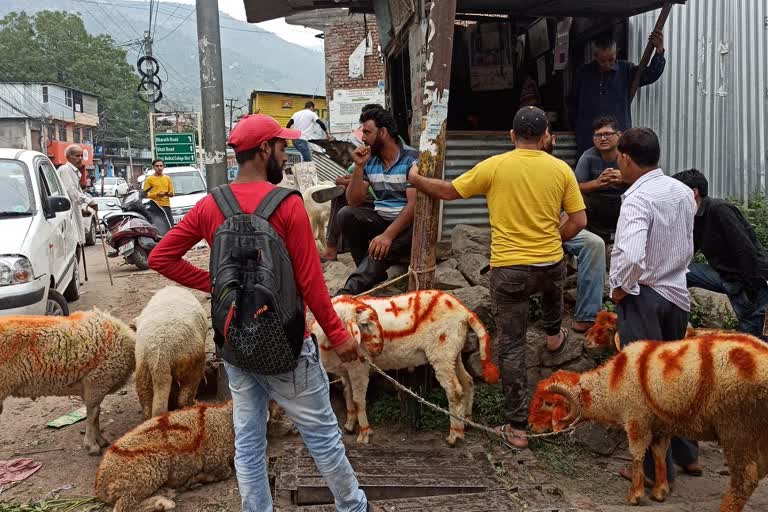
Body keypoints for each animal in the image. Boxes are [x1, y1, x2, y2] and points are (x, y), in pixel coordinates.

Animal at [0, 310, 136, 454]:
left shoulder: (88, 387)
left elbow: (96, 414)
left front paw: (100, 439)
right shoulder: (96, 381)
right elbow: (93, 414)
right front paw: (92, 445)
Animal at [133, 284, 208, 420]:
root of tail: (160, 354)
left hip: (144, 370)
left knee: (146, 401)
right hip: (190, 362)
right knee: (185, 395)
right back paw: (192, 404)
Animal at [312, 290, 498, 446]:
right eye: (365, 324)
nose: (378, 349)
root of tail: (464, 311)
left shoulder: (359, 366)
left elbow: (358, 400)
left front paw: (364, 433)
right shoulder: (346, 369)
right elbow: (348, 396)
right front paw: (350, 425)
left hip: (442, 353)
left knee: (455, 391)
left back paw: (454, 435)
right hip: (454, 352)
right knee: (467, 381)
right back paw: (466, 420)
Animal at [532, 330, 768, 510]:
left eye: (548, 403)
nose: (531, 426)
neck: (613, 381)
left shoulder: (637, 420)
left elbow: (637, 455)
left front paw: (635, 495)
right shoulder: (660, 426)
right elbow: (659, 455)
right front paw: (659, 491)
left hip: (737, 427)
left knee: (746, 478)